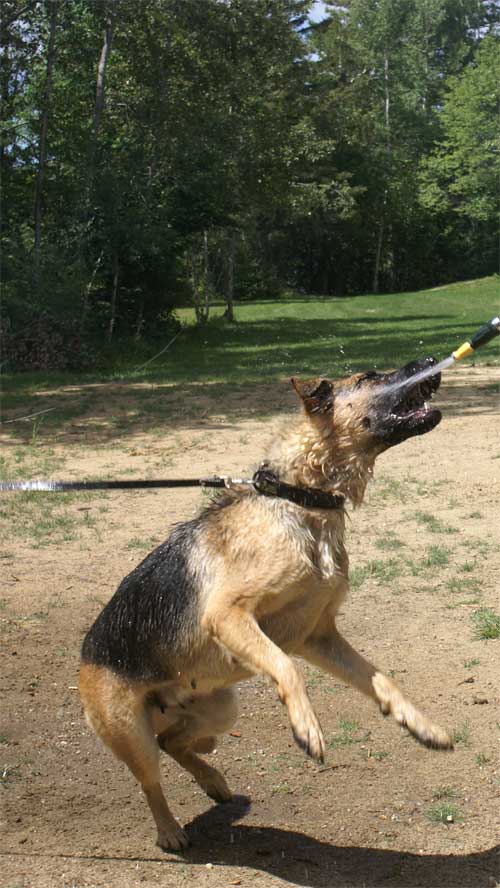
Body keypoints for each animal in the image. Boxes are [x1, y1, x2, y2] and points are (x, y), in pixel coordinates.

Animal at [79, 357, 453, 851]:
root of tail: (84, 654)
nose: (429, 361)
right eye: (370, 376)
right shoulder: (230, 616)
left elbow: (382, 680)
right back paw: (169, 830)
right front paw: (307, 728)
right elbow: (287, 668)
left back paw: (214, 781)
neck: (301, 500)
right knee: (151, 779)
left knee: (175, 743)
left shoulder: (319, 635)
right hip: (131, 731)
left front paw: (421, 725)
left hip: (220, 709)